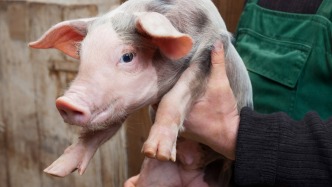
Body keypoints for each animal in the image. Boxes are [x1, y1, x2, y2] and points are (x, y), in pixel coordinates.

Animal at [29, 0, 252, 185]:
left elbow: (175, 96)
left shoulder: (209, 52)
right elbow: (98, 131)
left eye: (128, 56)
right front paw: (53, 171)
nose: (65, 102)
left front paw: (156, 151)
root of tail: (192, 165)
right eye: (81, 54)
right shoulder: (119, 103)